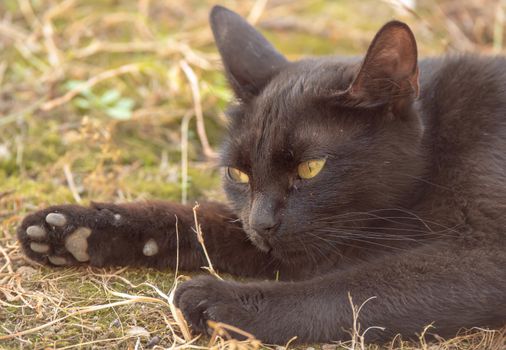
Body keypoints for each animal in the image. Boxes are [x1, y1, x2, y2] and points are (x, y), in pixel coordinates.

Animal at [15, 5, 506, 344]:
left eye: (310, 168)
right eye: (238, 173)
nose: (262, 223)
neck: (437, 147)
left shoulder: (485, 254)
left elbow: (350, 291)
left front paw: (219, 299)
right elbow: (197, 219)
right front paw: (74, 227)